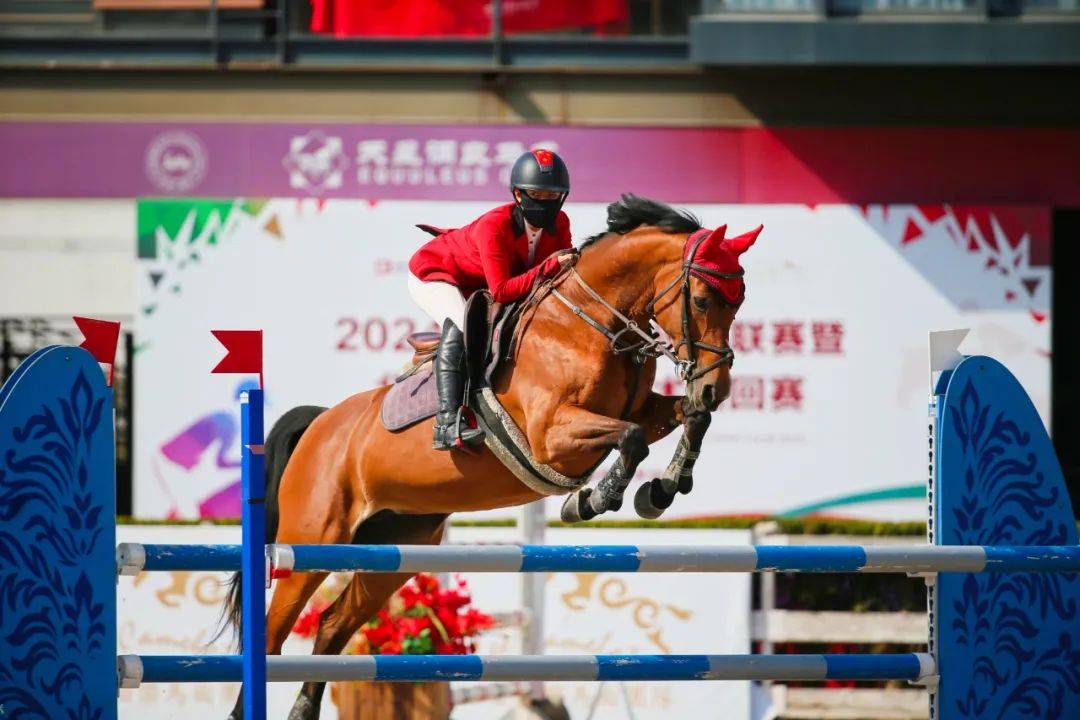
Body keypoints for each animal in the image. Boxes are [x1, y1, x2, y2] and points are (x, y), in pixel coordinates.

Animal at [223, 194, 761, 719]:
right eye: (702, 299)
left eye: (739, 301)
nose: (716, 388)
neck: (590, 322)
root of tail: (320, 425)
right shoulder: (551, 435)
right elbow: (630, 439)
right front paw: (591, 500)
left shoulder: (644, 410)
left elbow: (689, 418)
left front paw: (662, 489)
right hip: (312, 542)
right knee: (271, 634)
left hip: (394, 548)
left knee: (334, 624)